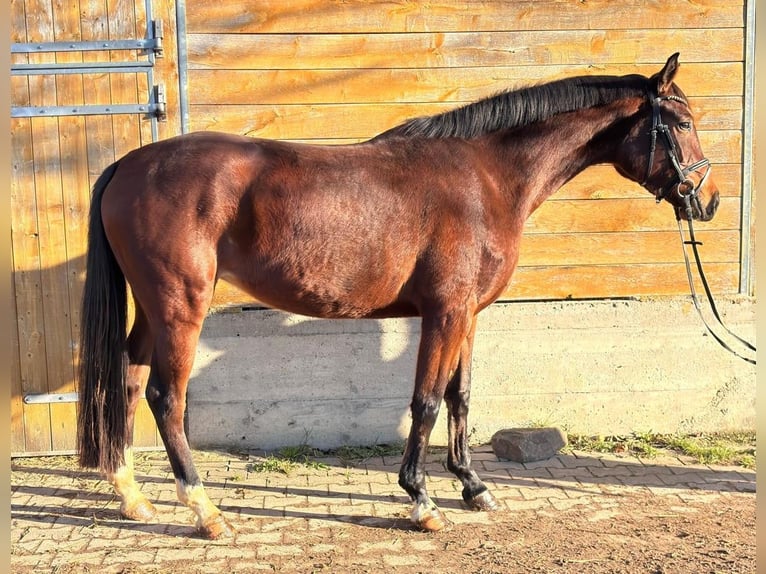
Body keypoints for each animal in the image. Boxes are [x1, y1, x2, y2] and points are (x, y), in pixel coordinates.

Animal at [76, 54, 720, 540]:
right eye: (682, 122)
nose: (707, 200)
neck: (486, 177)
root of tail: (128, 164)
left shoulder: (468, 316)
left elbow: (460, 397)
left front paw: (473, 486)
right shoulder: (445, 312)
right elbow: (427, 402)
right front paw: (422, 500)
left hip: (152, 307)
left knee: (129, 379)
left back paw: (133, 497)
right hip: (180, 304)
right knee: (165, 396)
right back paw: (204, 511)